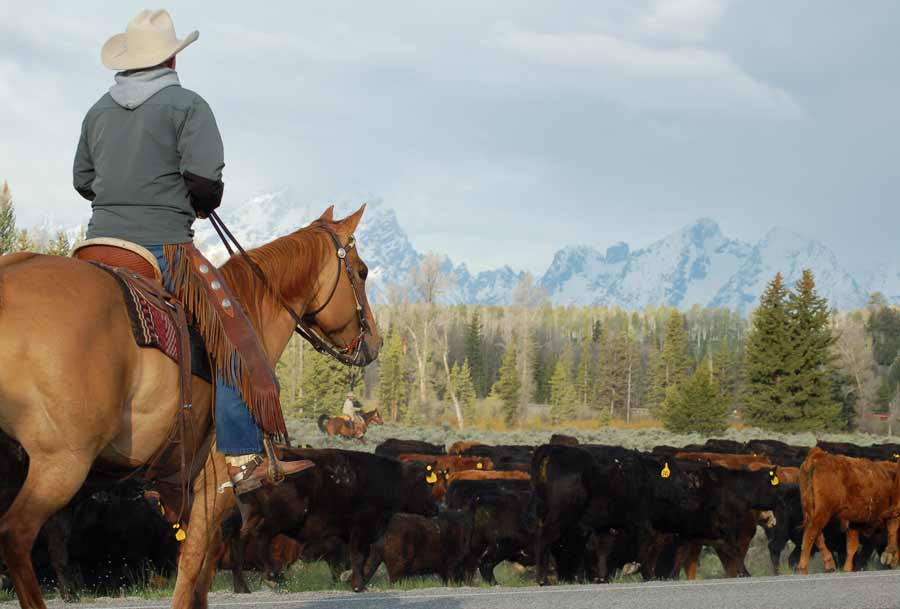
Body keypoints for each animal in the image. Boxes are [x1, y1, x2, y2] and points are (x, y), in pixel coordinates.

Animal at [0, 205, 384, 608]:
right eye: (362, 271)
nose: (375, 341)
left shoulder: (182, 494)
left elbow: (201, 578)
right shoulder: (215, 491)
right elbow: (190, 572)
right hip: (62, 462)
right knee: (16, 534)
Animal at [237, 444, 438, 592]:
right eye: (424, 484)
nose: (437, 508)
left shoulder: (350, 535)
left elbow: (354, 559)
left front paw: (348, 578)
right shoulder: (361, 530)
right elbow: (358, 557)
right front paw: (358, 586)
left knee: (245, 539)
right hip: (281, 519)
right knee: (261, 536)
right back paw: (272, 576)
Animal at [800, 444, 900, 572]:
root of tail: (818, 456)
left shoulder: (854, 522)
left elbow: (852, 546)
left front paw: (847, 568)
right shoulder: (893, 513)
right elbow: (893, 532)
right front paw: (889, 556)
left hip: (810, 510)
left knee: (817, 535)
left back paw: (829, 564)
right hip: (823, 512)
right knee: (811, 533)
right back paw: (803, 568)